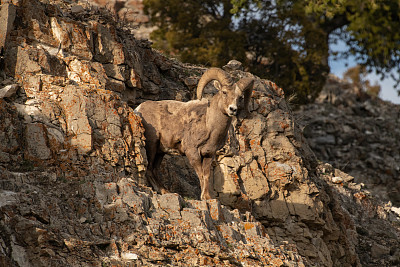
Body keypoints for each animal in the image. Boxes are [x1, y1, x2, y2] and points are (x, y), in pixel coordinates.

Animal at [134, 68, 253, 200]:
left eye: (240, 97)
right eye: (224, 92)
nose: (233, 109)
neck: (209, 126)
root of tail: (138, 109)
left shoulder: (208, 154)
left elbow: (206, 175)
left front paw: (207, 197)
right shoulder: (193, 153)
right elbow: (200, 174)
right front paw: (203, 197)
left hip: (161, 151)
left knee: (154, 169)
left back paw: (165, 191)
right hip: (152, 145)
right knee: (149, 168)